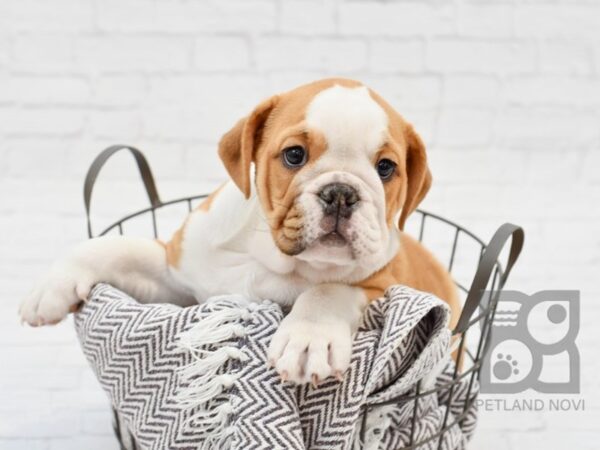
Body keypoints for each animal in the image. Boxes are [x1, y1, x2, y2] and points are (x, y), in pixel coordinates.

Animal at [18, 79, 460, 384]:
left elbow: (329, 290)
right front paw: (51, 285)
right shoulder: (176, 276)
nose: (341, 193)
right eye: (294, 155)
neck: (273, 260)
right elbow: (118, 248)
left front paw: (309, 338)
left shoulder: (384, 286)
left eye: (386, 168)